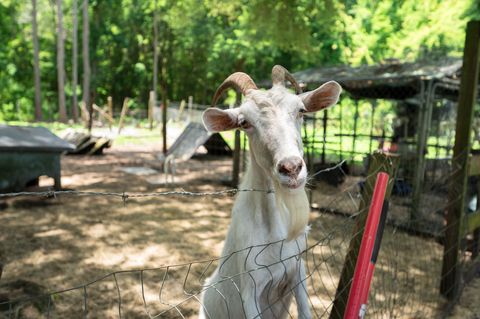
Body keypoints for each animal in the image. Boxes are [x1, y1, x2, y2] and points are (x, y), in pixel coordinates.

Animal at [199, 65, 342, 319]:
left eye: (301, 110)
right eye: (244, 123)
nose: (291, 168)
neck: (275, 237)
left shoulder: (297, 270)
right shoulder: (250, 290)